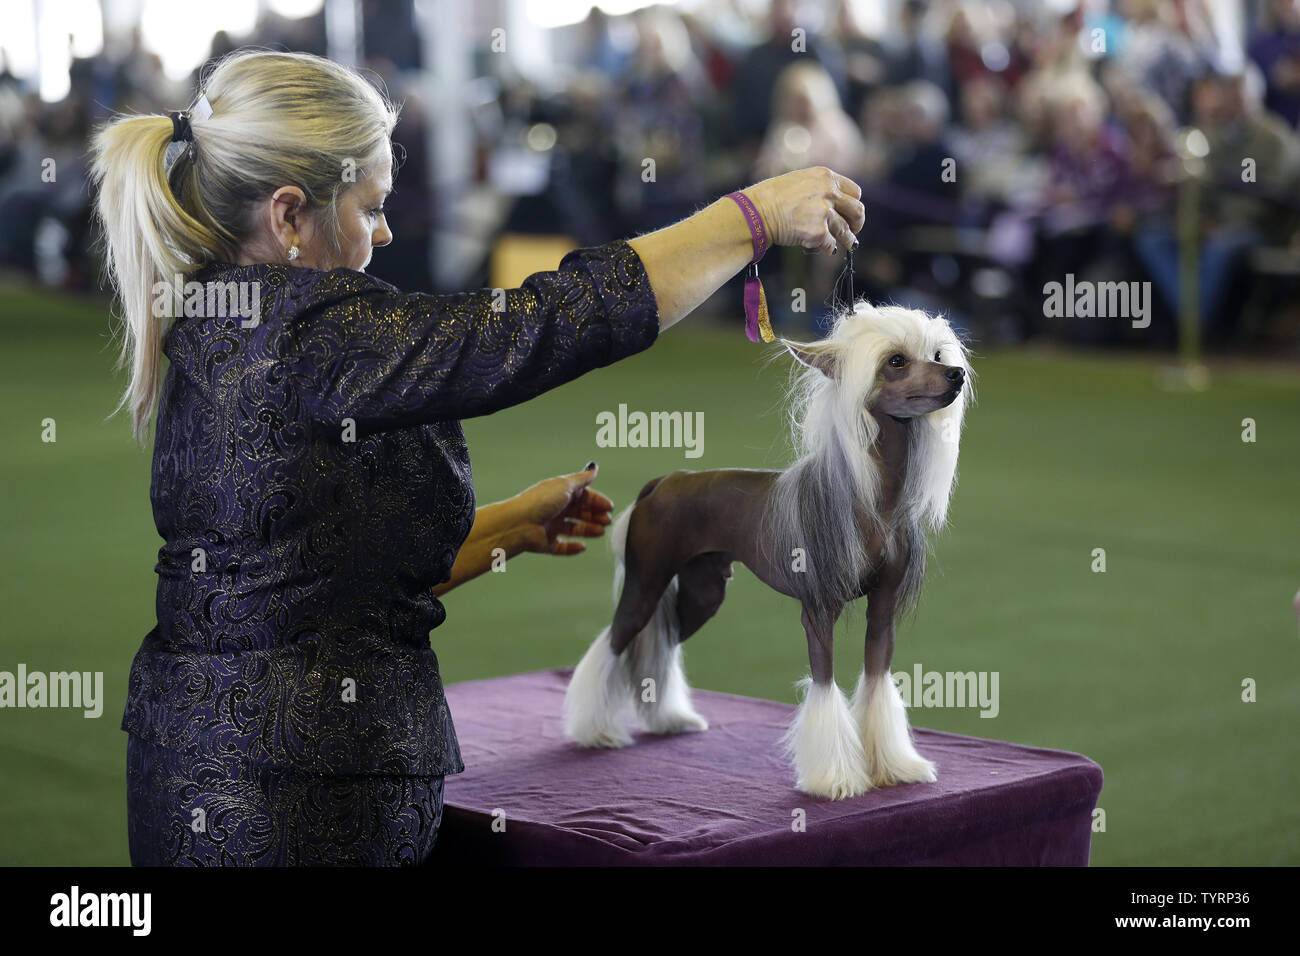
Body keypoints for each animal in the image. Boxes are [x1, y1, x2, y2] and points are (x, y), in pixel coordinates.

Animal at [564, 300, 972, 801]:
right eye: (896, 361)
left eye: (935, 354)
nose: (955, 373)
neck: (873, 499)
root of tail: (666, 480)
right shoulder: (818, 610)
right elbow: (824, 686)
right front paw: (834, 777)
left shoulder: (883, 608)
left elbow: (877, 683)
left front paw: (894, 767)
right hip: (646, 582)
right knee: (614, 641)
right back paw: (593, 730)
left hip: (703, 591)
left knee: (662, 644)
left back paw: (670, 719)